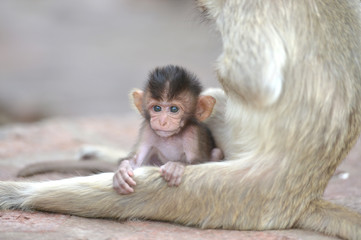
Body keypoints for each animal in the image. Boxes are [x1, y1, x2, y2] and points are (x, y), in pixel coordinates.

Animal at [114, 64, 224, 194]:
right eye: (157, 108)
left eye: (174, 109)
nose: (162, 122)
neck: (170, 137)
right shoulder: (148, 129)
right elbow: (136, 160)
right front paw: (122, 171)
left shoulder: (192, 133)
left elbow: (199, 163)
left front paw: (176, 166)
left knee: (217, 152)